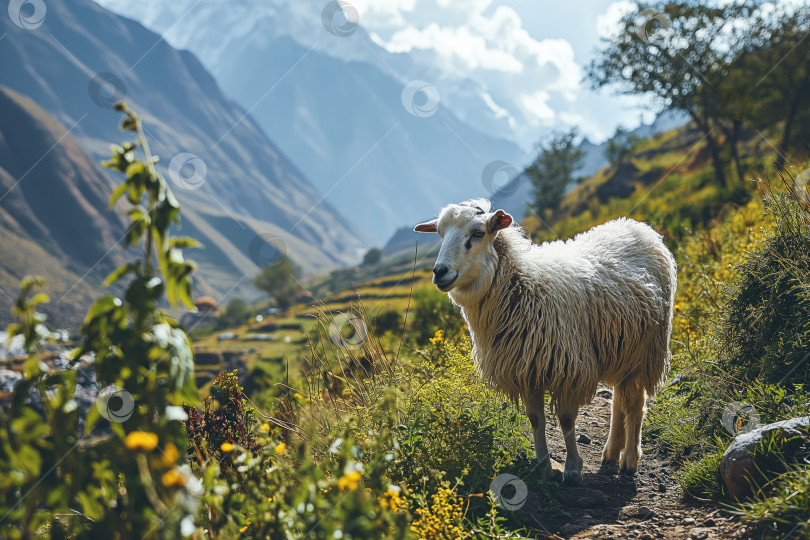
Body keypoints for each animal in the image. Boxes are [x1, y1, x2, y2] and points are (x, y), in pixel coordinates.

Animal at [414, 198, 672, 486]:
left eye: (478, 233)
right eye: (440, 234)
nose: (439, 272)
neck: (523, 284)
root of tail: (636, 226)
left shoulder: (570, 369)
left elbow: (567, 420)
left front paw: (572, 469)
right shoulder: (526, 369)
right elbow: (536, 419)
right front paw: (542, 467)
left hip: (647, 350)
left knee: (635, 402)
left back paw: (629, 460)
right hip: (622, 346)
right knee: (619, 400)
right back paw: (611, 453)